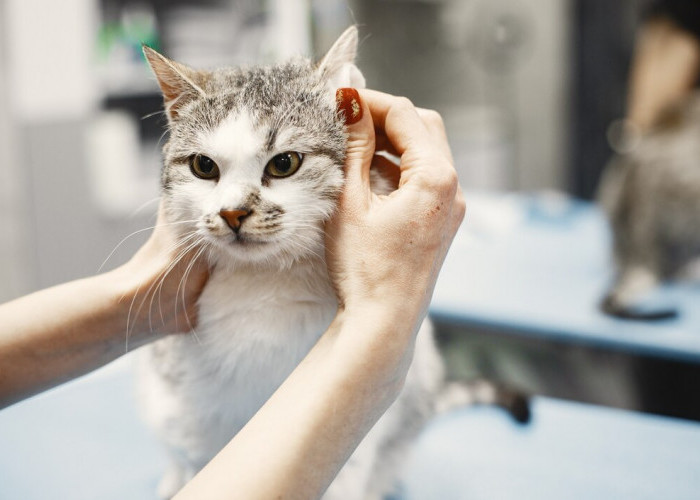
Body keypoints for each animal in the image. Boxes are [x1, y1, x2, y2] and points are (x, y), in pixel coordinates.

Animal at [139, 28, 528, 500]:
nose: (232, 213)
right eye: (203, 166)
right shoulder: (189, 409)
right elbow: (197, 454)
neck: (266, 284)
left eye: (284, 163)